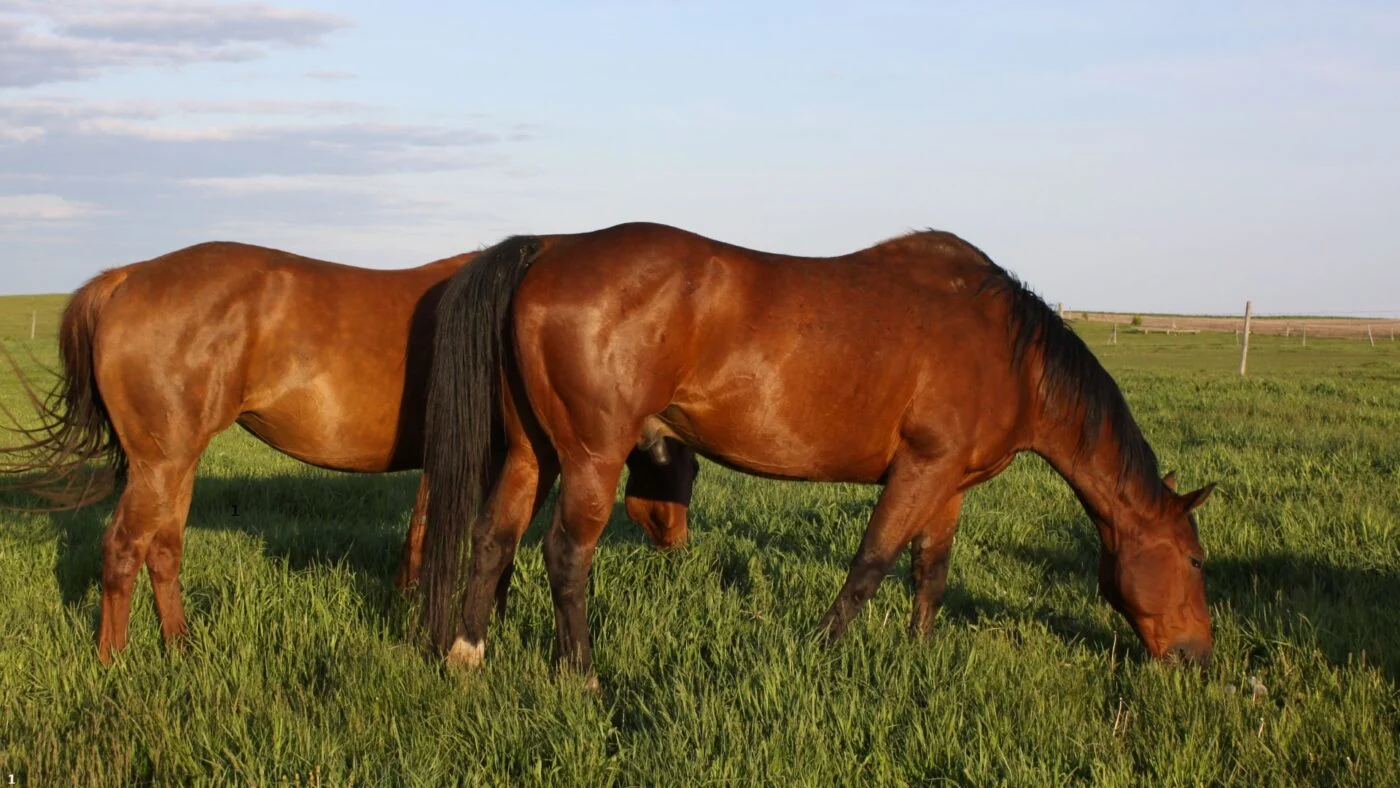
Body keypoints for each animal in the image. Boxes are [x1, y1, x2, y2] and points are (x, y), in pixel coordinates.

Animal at [0, 241, 699, 663]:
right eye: (684, 466)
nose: (675, 540)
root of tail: (125, 279)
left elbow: (429, 535)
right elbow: (485, 537)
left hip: (174, 463)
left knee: (163, 548)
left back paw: (181, 648)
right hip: (160, 463)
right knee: (123, 548)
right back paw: (113, 662)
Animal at [417, 222, 1217, 678]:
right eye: (1197, 560)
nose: (1198, 657)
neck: (1010, 352)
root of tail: (550, 250)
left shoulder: (949, 483)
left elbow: (930, 572)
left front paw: (920, 656)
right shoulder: (921, 468)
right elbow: (871, 564)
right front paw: (824, 653)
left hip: (534, 453)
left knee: (494, 538)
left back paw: (467, 656)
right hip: (591, 455)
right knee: (565, 554)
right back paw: (580, 674)